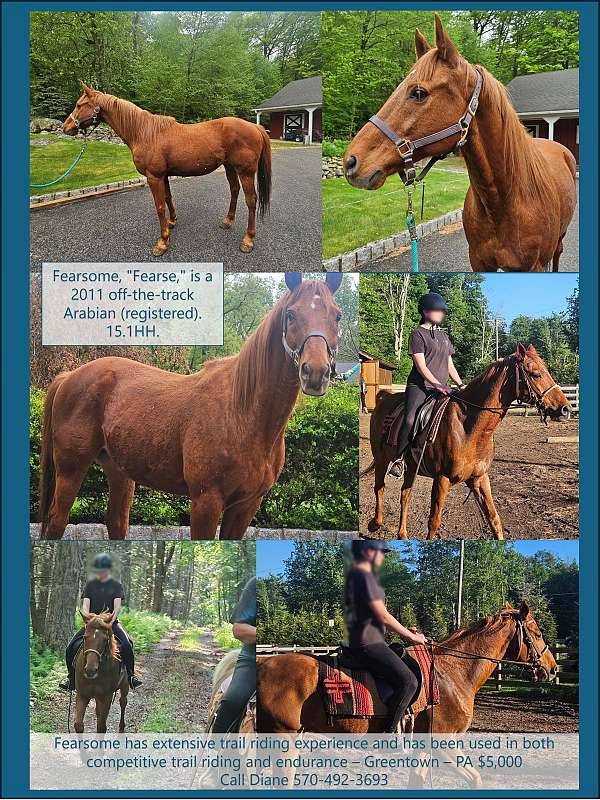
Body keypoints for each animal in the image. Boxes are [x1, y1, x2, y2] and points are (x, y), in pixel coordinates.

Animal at [38, 273, 343, 540]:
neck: (242, 414)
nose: (316, 373)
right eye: (291, 314)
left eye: (337, 315)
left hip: (119, 471)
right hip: (71, 469)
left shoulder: (245, 506)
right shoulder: (206, 501)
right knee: (57, 521)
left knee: (115, 522)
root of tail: (69, 377)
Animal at [62, 82, 272, 256]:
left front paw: (162, 242)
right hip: (229, 167)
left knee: (251, 200)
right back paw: (227, 221)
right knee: (234, 191)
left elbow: (159, 206)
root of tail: (255, 127)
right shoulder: (163, 175)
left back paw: (248, 239)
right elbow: (168, 198)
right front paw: (172, 222)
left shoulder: (154, 177)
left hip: (245, 171)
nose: (66, 127)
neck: (145, 132)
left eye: (79, 105)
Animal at [256, 602, 557, 787]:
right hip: (284, 740)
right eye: (538, 633)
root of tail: (263, 664)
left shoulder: (423, 747)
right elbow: (475, 779)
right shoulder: (444, 743)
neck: (452, 673)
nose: (552, 669)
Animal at [343, 15, 577, 272]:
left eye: (418, 93)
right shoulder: (478, 261)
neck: (505, 200)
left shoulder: (533, 266)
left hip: (559, 240)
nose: (351, 162)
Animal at [364, 343, 570, 540]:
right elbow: (434, 522)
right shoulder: (442, 479)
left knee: (405, 494)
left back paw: (402, 534)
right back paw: (375, 523)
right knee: (380, 488)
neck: (469, 427)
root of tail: (384, 397)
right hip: (382, 460)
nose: (565, 409)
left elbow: (494, 519)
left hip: (411, 467)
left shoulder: (479, 478)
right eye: (535, 374)